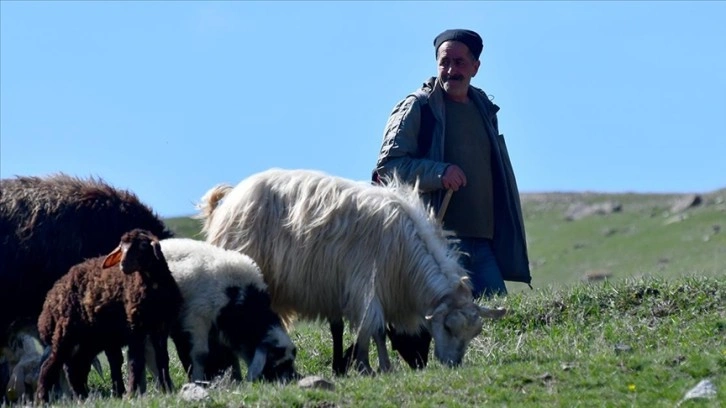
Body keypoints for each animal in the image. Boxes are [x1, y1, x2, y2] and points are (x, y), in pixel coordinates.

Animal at [35, 230, 183, 402]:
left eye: (143, 245)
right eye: (121, 248)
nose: (123, 264)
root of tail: (49, 300)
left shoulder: (161, 327)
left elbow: (163, 359)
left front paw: (168, 390)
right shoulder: (135, 328)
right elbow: (135, 362)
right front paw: (131, 394)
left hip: (88, 341)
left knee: (75, 367)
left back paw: (84, 397)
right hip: (65, 334)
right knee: (50, 366)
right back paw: (43, 399)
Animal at [144, 237, 298, 384]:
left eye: (291, 361)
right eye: (275, 363)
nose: (292, 379)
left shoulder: (223, 330)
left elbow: (230, 355)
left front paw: (235, 380)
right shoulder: (196, 318)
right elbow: (200, 354)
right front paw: (198, 380)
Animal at [196, 168, 506, 372]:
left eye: (474, 333)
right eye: (448, 327)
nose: (453, 365)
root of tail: (230, 199)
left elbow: (370, 331)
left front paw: (372, 366)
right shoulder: (365, 285)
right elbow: (373, 329)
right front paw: (372, 367)